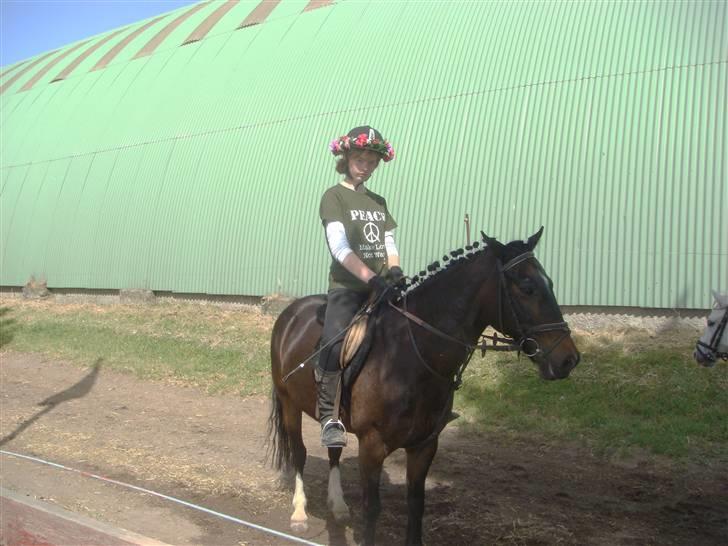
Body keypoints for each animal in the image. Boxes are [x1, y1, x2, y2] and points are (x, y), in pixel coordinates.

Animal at [268, 224, 580, 540]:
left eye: (550, 283)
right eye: (528, 288)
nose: (569, 359)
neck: (408, 353)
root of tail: (290, 312)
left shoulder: (424, 445)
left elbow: (416, 504)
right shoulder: (372, 445)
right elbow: (371, 509)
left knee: (332, 451)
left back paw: (339, 506)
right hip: (289, 403)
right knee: (300, 453)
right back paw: (299, 513)